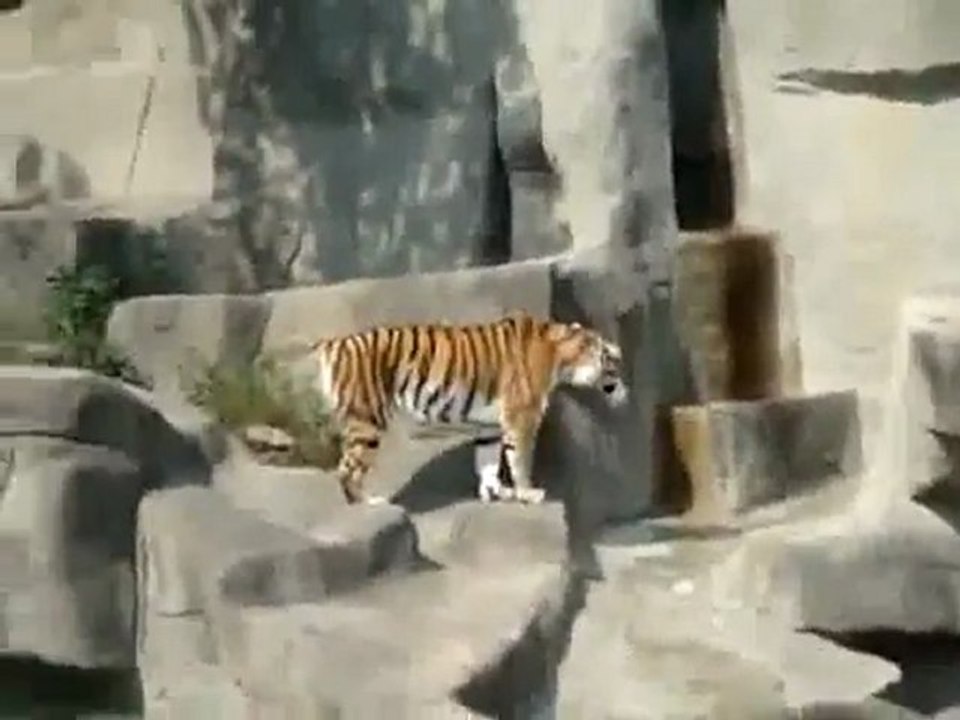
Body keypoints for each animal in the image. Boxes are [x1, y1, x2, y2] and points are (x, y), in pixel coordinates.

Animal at [308, 311, 628, 505]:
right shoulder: (523, 416)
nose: (625, 393)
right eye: (612, 362)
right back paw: (369, 503)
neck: (560, 355)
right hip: (368, 420)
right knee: (346, 469)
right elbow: (520, 459)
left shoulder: (489, 425)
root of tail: (334, 343)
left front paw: (496, 492)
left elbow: (489, 461)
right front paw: (527, 492)